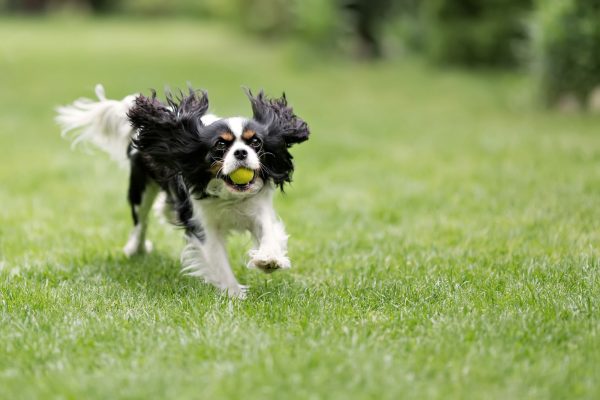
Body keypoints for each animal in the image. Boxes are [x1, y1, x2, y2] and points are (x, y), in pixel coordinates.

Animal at [55, 84, 310, 296]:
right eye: (220, 145)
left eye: (255, 142)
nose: (241, 152)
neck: (229, 196)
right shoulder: (202, 225)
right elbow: (218, 260)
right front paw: (234, 294)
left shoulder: (258, 208)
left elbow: (269, 232)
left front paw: (268, 260)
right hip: (140, 192)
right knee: (141, 223)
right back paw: (136, 248)